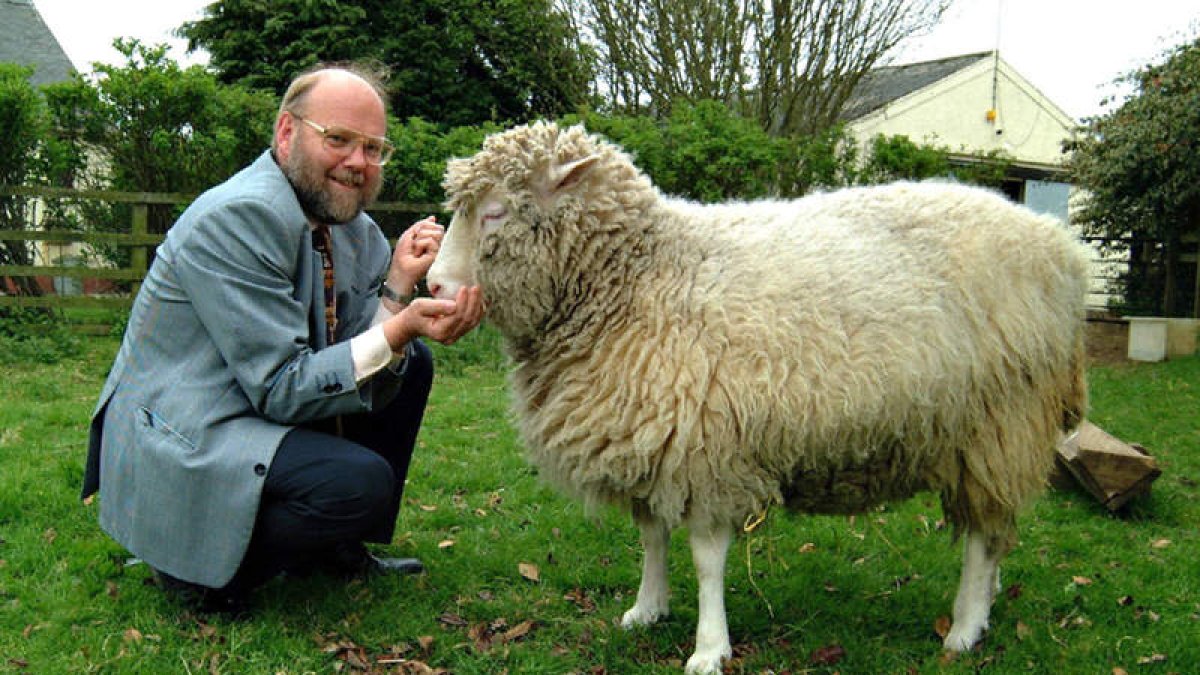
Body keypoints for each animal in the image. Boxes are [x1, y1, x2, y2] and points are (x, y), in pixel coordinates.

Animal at [427, 121, 1091, 674]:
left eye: (494, 213)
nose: (433, 285)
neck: (638, 276)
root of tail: (1060, 246)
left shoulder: (704, 447)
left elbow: (706, 558)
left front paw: (708, 647)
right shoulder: (649, 434)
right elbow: (650, 535)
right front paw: (647, 609)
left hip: (998, 421)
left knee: (982, 536)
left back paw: (965, 626)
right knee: (995, 530)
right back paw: (988, 601)